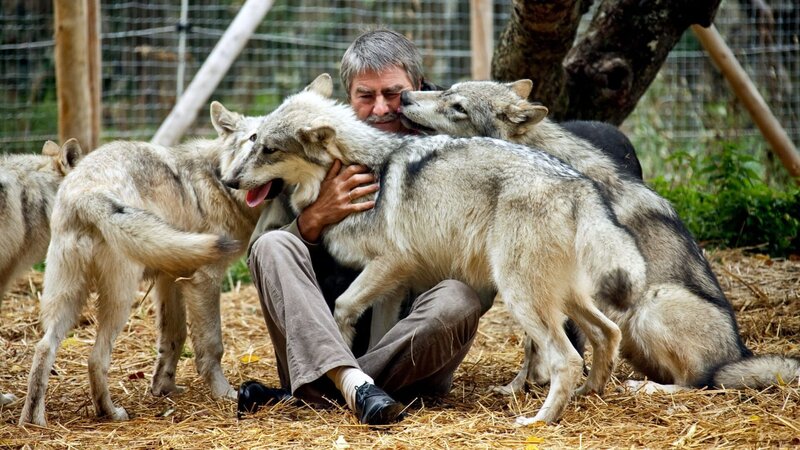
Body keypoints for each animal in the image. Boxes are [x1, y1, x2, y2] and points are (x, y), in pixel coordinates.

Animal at [18, 102, 275, 426]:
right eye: (252, 138)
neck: (219, 182)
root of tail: (86, 193)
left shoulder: (170, 280)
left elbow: (174, 338)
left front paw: (163, 389)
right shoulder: (205, 281)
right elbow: (211, 346)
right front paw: (224, 394)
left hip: (67, 298)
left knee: (43, 348)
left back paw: (33, 421)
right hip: (120, 299)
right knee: (95, 357)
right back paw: (110, 413)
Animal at [398, 79, 800, 393]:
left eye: (458, 107)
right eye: (446, 90)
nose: (403, 96)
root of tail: (739, 354)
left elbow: (539, 343)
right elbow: (532, 345)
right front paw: (518, 387)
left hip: (653, 302)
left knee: (699, 383)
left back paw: (646, 388)